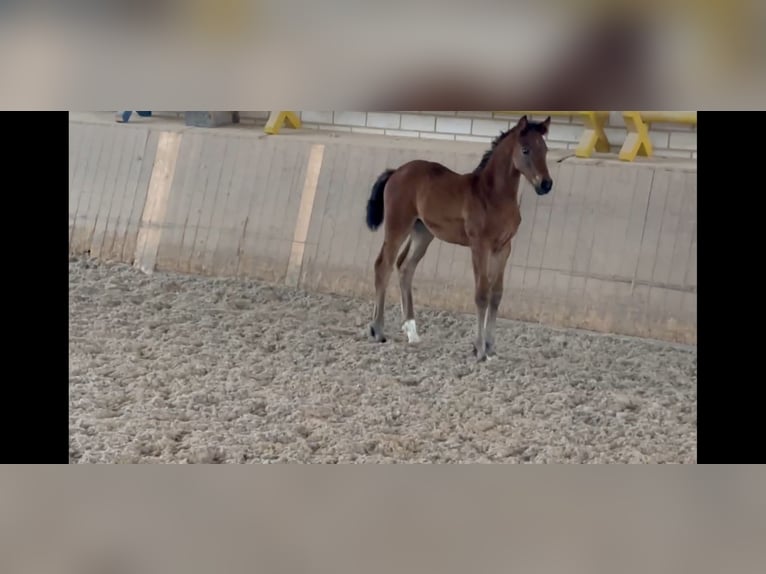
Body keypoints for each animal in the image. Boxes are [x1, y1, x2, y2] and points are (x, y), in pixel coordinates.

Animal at [364, 115, 552, 362]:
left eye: (546, 150)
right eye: (525, 150)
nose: (546, 184)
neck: (492, 195)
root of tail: (396, 171)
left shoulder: (503, 248)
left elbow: (496, 294)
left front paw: (491, 347)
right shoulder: (479, 246)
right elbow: (482, 294)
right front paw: (479, 349)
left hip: (423, 233)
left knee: (405, 267)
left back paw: (412, 332)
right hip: (398, 226)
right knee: (382, 265)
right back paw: (377, 330)